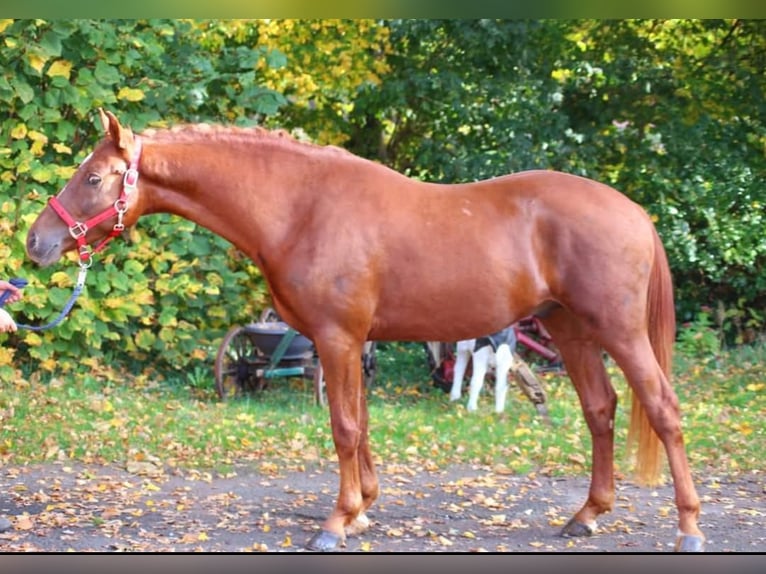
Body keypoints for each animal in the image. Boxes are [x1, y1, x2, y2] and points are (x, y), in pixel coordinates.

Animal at [25, 109, 708, 552]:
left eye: (92, 178)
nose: (36, 242)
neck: (301, 206)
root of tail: (632, 210)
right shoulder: (348, 343)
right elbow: (359, 421)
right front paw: (360, 513)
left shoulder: (337, 338)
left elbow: (345, 426)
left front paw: (336, 523)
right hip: (572, 330)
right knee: (601, 409)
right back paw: (587, 516)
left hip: (619, 331)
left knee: (663, 410)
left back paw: (689, 528)